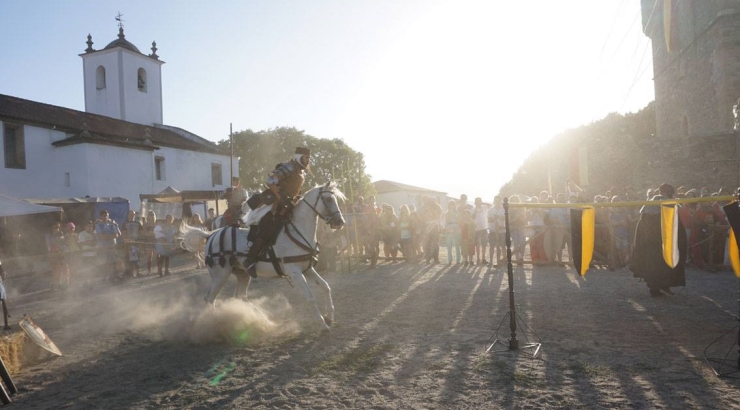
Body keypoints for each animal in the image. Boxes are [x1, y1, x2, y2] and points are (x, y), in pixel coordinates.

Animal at [184, 181, 348, 332]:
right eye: (328, 199)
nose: (340, 222)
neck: (296, 232)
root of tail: (210, 235)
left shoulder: (307, 269)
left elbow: (326, 287)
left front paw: (330, 317)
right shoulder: (295, 272)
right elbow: (311, 297)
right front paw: (323, 324)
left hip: (243, 274)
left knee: (240, 297)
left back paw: (263, 320)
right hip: (220, 275)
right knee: (209, 299)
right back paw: (218, 324)